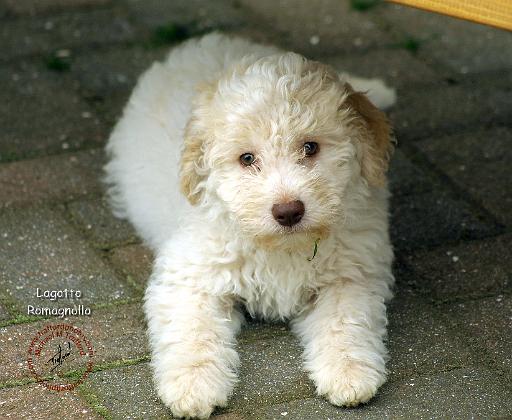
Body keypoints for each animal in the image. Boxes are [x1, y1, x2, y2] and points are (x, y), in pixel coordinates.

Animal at [105, 33, 396, 420]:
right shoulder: (189, 276)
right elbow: (192, 330)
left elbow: (346, 321)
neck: (282, 246)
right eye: (247, 159)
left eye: (310, 147)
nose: (288, 211)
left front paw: (349, 372)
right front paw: (193, 386)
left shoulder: (351, 275)